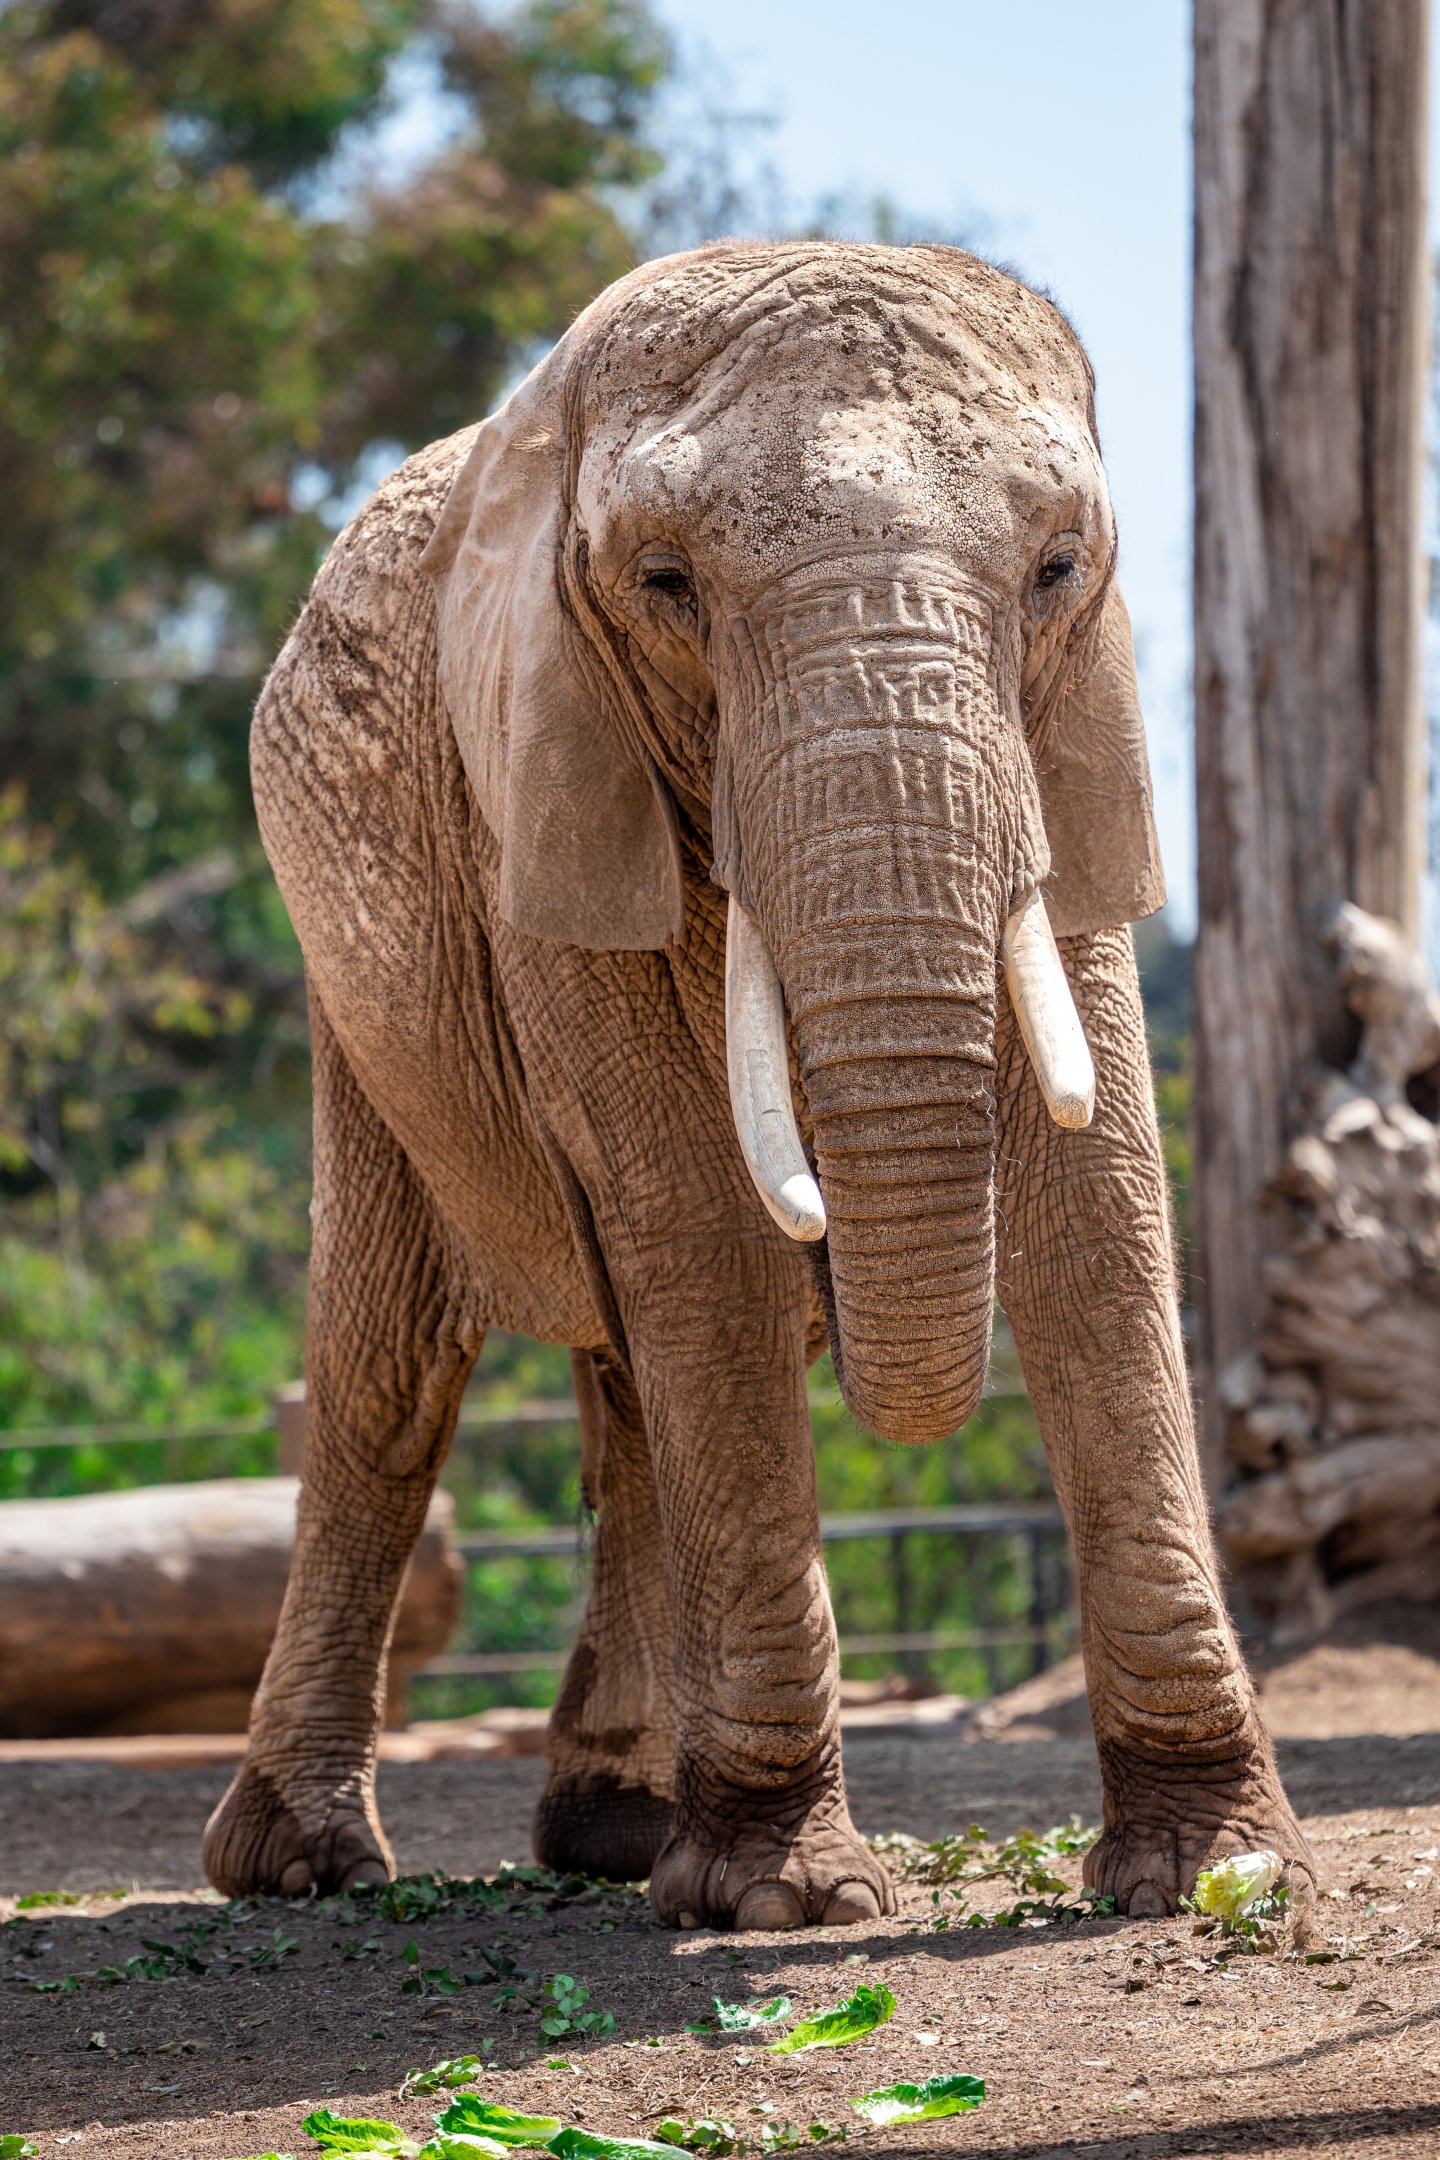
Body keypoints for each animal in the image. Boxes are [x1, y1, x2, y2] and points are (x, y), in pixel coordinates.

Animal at [204, 240, 1313, 1930]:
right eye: (666, 585)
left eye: (1059, 567)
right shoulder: (539, 787)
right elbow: (705, 1232)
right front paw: (785, 1904)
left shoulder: (1066, 756)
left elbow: (1098, 1218)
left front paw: (1215, 1870)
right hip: (357, 994)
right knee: (390, 1367)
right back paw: (304, 1868)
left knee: (623, 1378)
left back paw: (617, 1830)